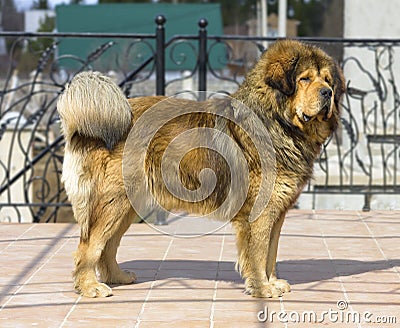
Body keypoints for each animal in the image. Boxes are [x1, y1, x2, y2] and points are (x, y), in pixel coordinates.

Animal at [57, 40, 346, 298]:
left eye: (327, 80)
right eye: (305, 79)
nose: (328, 93)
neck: (276, 122)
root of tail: (84, 129)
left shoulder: (278, 210)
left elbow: (271, 253)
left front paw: (271, 282)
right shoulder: (260, 212)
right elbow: (258, 253)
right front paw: (262, 288)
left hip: (127, 206)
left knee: (108, 246)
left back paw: (117, 277)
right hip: (112, 203)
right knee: (88, 246)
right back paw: (89, 287)